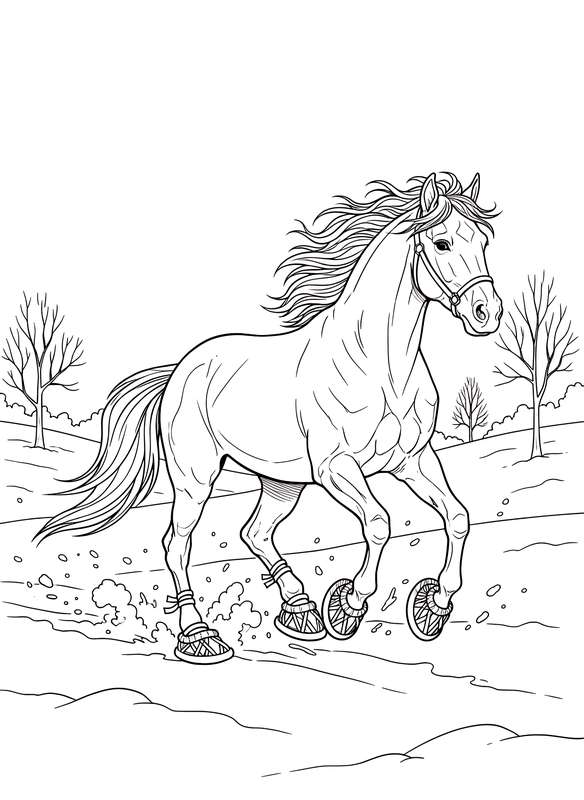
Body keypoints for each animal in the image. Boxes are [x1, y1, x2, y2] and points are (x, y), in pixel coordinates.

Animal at [36, 172, 502, 664]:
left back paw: (300, 610)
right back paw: (201, 636)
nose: (486, 314)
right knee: (177, 545)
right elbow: (379, 524)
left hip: (281, 483)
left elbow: (457, 516)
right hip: (195, 479)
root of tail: (180, 371)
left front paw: (434, 605)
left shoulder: (411, 461)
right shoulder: (336, 468)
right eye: (442, 241)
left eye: (484, 240)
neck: (381, 366)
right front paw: (349, 606)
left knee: (254, 533)